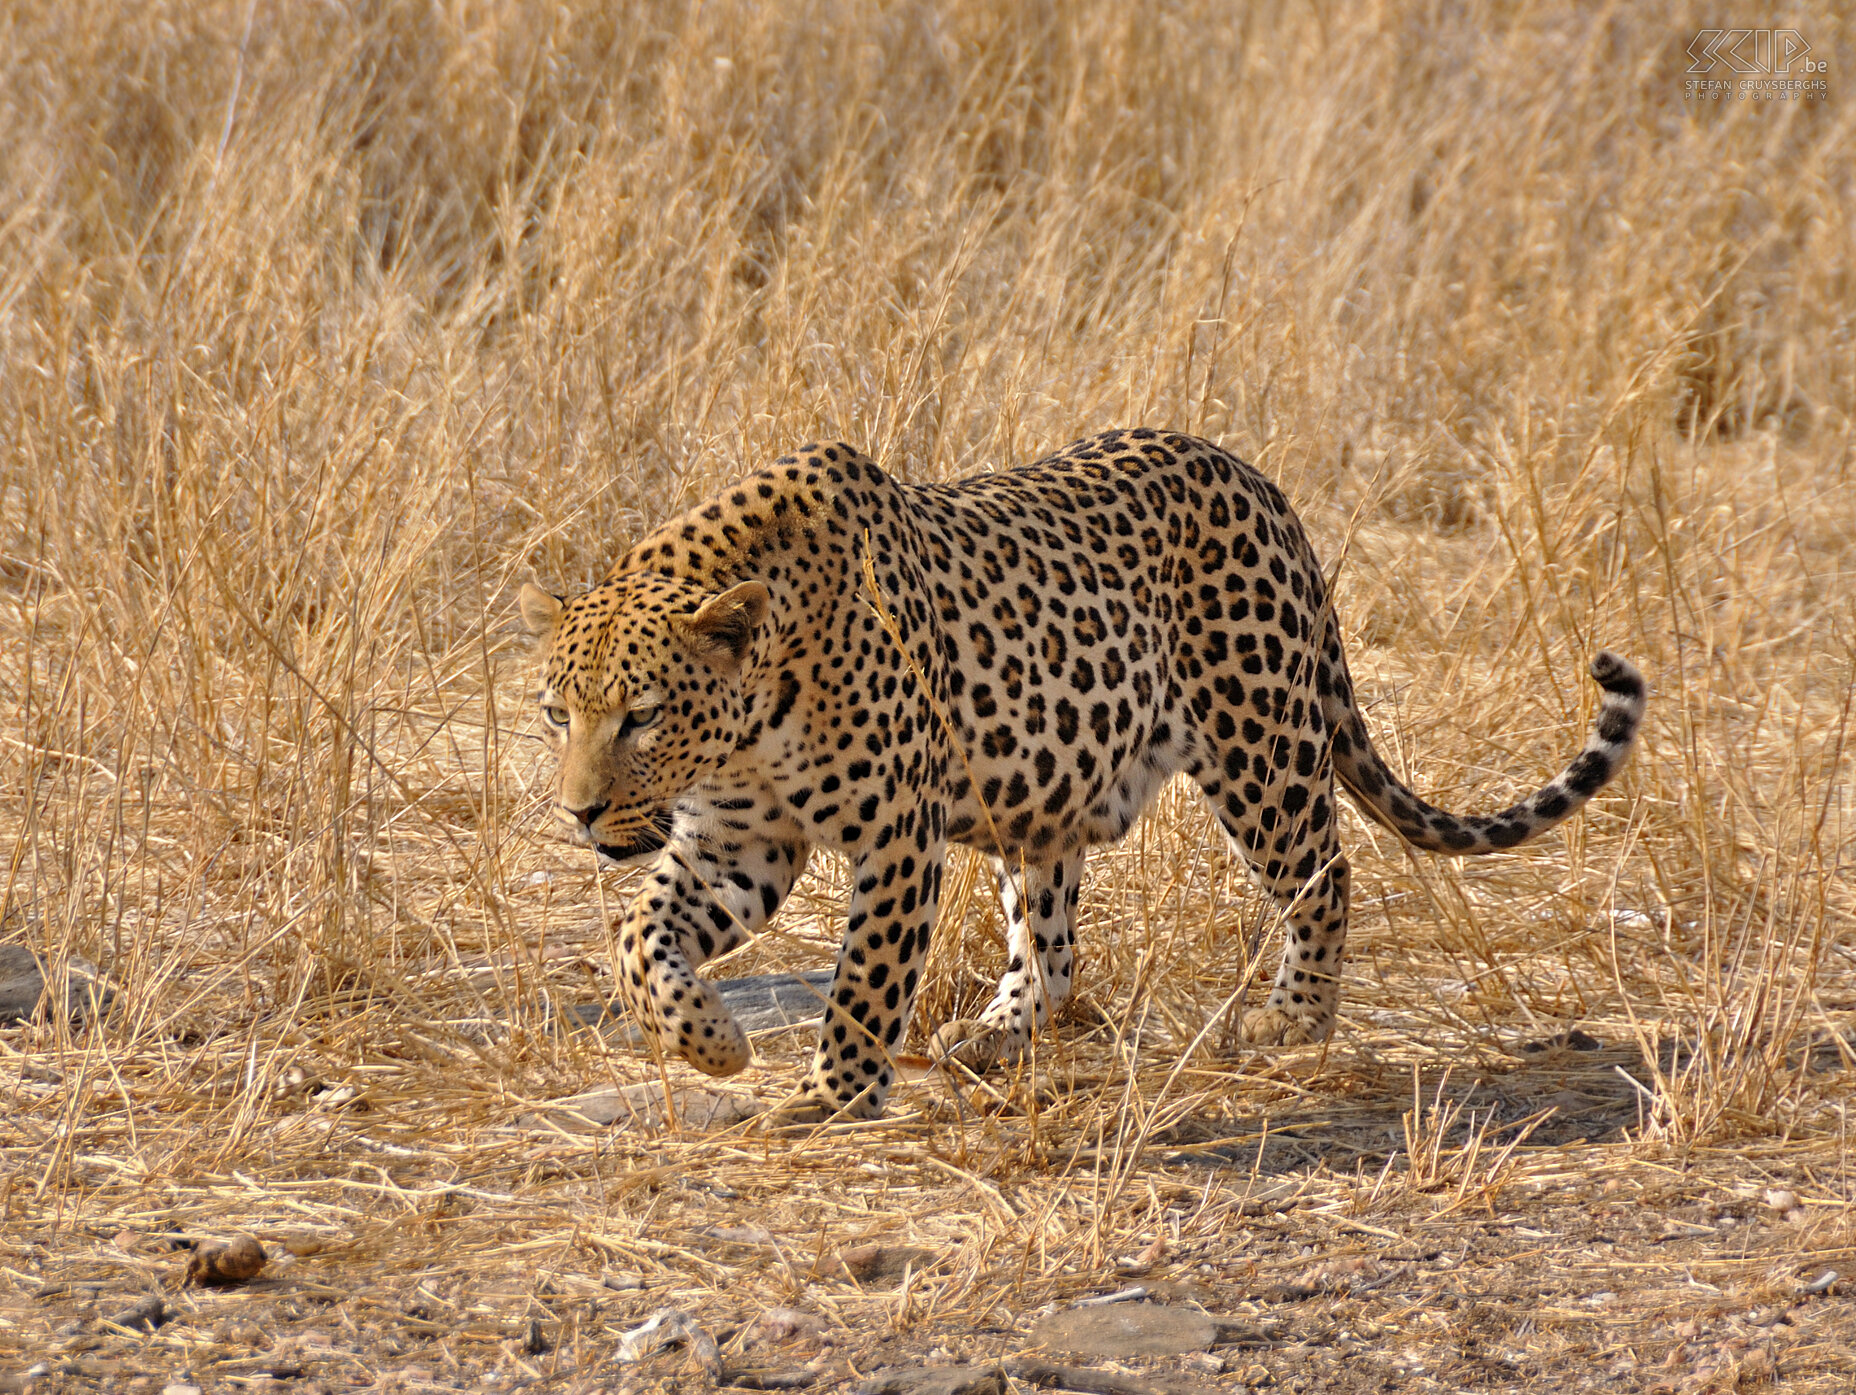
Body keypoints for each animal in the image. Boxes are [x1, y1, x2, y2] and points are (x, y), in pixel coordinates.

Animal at [519, 428, 1640, 1120]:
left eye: (642, 715)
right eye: (556, 713)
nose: (579, 814)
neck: (754, 713)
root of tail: (1260, 483)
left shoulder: (895, 833)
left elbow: (866, 979)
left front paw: (829, 1095)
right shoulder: (737, 838)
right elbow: (639, 937)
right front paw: (711, 1043)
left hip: (1259, 743)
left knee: (1323, 873)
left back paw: (1291, 1015)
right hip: (1044, 796)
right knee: (1051, 943)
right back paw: (996, 1032)